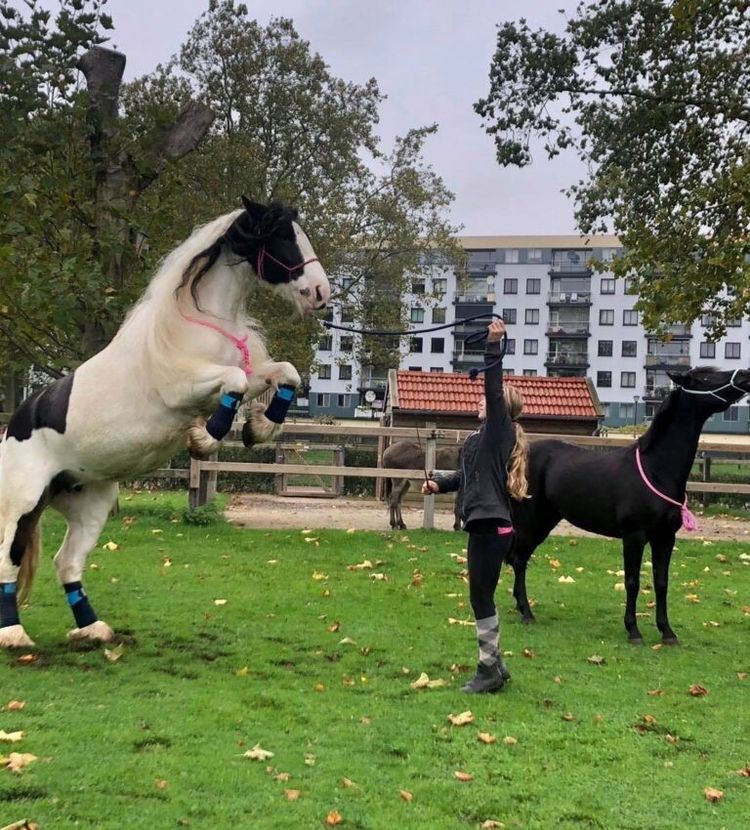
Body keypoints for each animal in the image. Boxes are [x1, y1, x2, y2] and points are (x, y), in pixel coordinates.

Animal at [0, 198, 330, 648]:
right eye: (282, 235)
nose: (321, 292)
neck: (197, 322)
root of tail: (13, 426)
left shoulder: (250, 373)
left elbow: (286, 374)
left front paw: (257, 428)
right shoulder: (185, 388)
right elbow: (235, 382)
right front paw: (204, 438)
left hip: (89, 503)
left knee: (67, 563)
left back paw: (93, 629)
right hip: (24, 502)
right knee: (8, 561)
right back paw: (14, 634)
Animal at [508, 366, 750, 645]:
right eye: (704, 378)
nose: (744, 375)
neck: (656, 469)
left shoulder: (665, 538)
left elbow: (661, 582)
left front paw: (667, 632)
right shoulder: (634, 536)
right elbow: (632, 582)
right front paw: (633, 630)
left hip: (546, 520)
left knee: (520, 558)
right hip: (532, 520)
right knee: (519, 560)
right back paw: (527, 613)